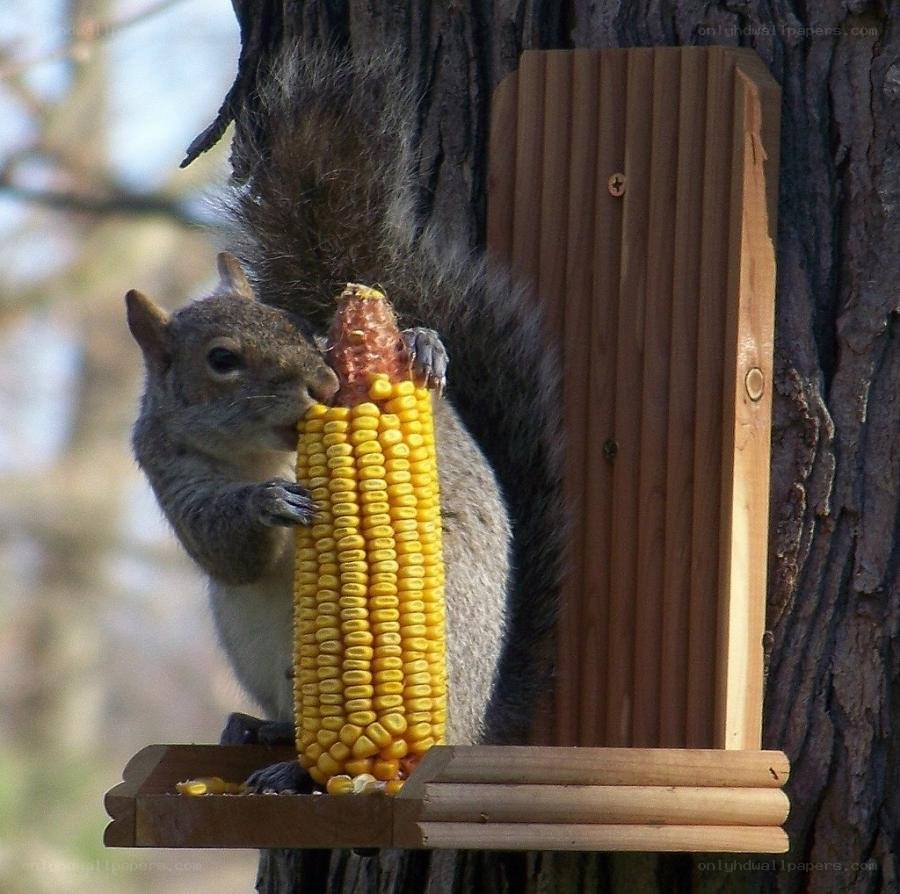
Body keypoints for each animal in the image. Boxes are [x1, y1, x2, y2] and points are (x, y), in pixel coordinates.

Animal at [127, 46, 563, 767]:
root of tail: (476, 728)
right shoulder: (168, 467)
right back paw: (268, 738)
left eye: (302, 329)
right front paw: (269, 502)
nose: (326, 384)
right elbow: (224, 547)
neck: (265, 452)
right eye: (222, 360)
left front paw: (421, 344)